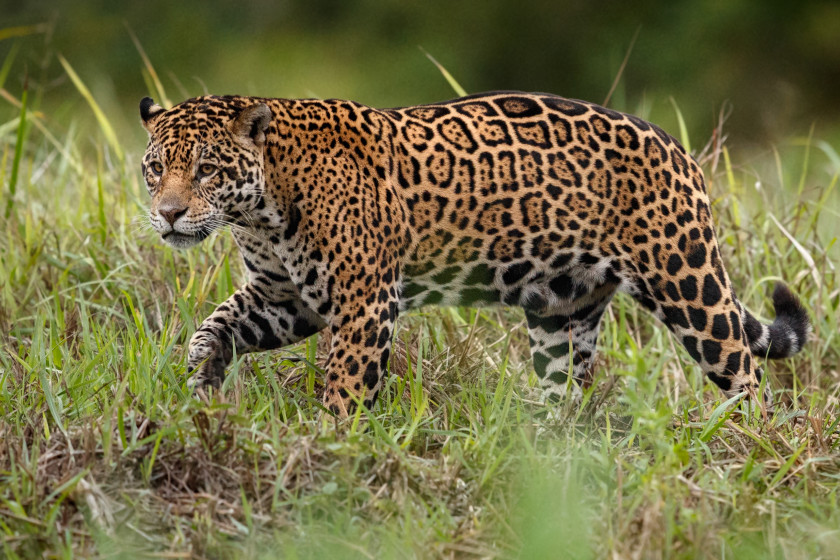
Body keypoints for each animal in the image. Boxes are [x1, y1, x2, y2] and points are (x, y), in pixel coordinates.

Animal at [139, 91, 810, 418]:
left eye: (206, 169)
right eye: (154, 169)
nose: (168, 214)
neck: (262, 209)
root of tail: (681, 149)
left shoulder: (364, 302)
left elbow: (347, 387)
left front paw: (330, 447)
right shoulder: (283, 297)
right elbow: (214, 325)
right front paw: (201, 382)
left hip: (689, 285)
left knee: (747, 378)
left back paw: (752, 450)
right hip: (562, 311)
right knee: (565, 392)